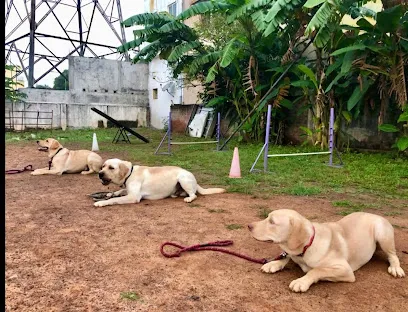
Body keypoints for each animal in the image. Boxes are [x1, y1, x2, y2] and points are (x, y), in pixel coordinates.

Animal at [93, 158, 226, 207]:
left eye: (111, 168)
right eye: (103, 166)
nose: (100, 173)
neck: (129, 173)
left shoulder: (133, 196)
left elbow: (114, 200)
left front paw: (101, 202)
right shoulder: (128, 190)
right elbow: (120, 190)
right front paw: (110, 193)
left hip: (183, 178)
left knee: (193, 194)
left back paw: (188, 198)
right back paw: (175, 194)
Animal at [249, 210, 404, 292]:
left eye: (272, 222)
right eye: (267, 217)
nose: (249, 226)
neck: (308, 247)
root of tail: (375, 214)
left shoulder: (345, 270)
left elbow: (317, 270)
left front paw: (301, 281)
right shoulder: (292, 252)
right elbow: (285, 256)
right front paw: (273, 264)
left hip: (382, 234)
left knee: (393, 255)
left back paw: (395, 268)